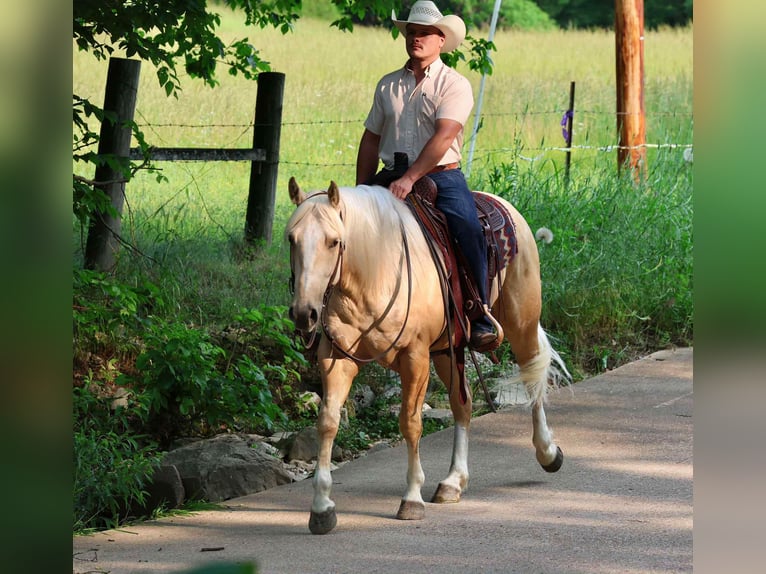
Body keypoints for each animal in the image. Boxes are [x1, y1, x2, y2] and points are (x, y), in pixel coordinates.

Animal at [285, 177, 570, 535]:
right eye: (291, 238)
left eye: (334, 242)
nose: (303, 313)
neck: (374, 271)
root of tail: (505, 206)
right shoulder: (337, 359)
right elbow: (327, 422)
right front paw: (322, 507)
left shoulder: (415, 356)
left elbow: (410, 423)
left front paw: (411, 499)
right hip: (449, 350)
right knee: (463, 404)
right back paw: (453, 481)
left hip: (522, 324)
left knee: (533, 382)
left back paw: (548, 452)